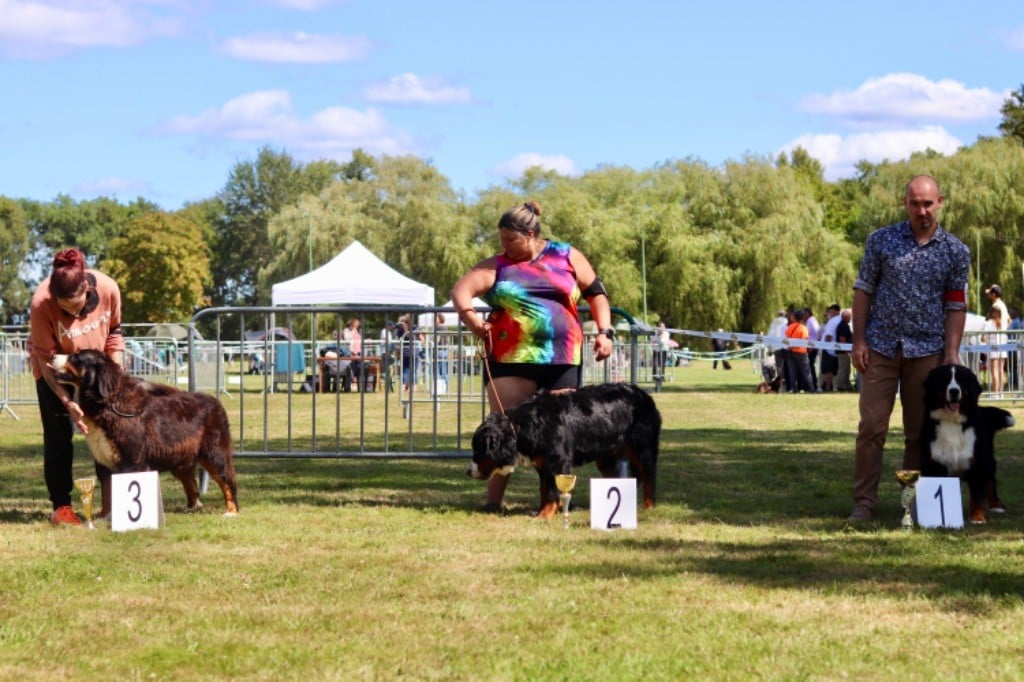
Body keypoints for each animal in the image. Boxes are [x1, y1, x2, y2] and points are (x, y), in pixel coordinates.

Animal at [51, 348, 237, 512]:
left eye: (75, 357)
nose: (52, 355)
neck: (108, 402)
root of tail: (216, 401)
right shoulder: (108, 459)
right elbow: (108, 492)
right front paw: (106, 517)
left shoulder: (132, 459)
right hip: (179, 458)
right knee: (191, 485)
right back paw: (192, 507)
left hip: (214, 454)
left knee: (227, 481)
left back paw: (231, 510)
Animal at [468, 382, 659, 516]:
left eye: (478, 451)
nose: (468, 472)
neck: (526, 424)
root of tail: (644, 394)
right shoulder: (543, 464)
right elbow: (544, 490)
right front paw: (540, 511)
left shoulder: (557, 462)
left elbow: (552, 492)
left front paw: (544, 516)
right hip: (606, 457)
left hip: (642, 449)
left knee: (649, 477)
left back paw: (648, 507)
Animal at [921, 364, 1015, 522]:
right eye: (945, 379)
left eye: (961, 380)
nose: (954, 391)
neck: (952, 421)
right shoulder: (936, 461)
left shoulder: (977, 461)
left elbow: (977, 495)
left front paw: (977, 518)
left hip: (987, 458)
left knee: (990, 481)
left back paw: (996, 506)